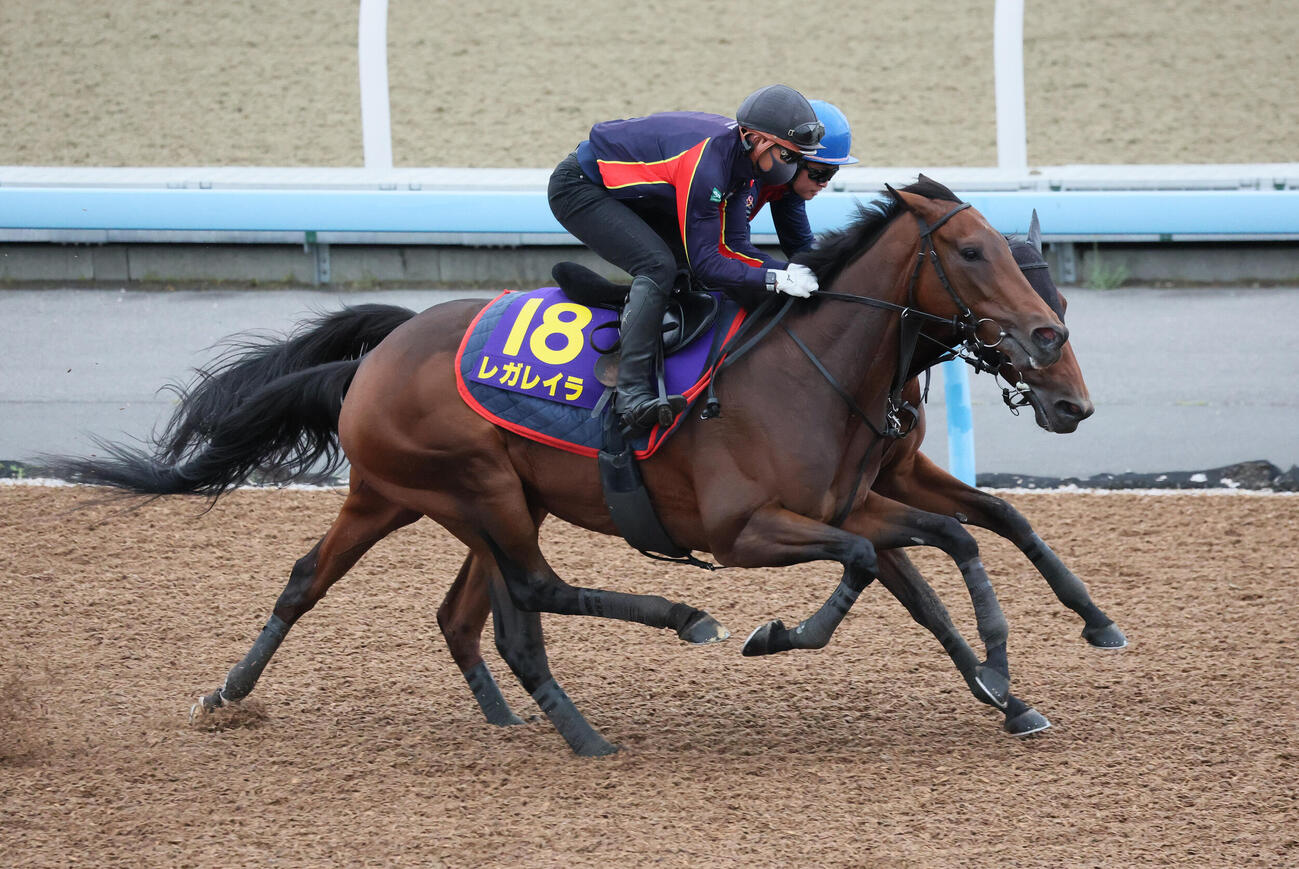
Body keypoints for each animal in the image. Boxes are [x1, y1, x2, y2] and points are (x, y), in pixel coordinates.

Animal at [45, 177, 1071, 756]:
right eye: (971, 251)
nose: (1048, 345)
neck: (806, 367)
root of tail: (380, 354)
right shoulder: (746, 531)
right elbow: (880, 565)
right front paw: (773, 632)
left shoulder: (851, 505)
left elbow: (937, 558)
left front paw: (1007, 692)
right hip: (468, 487)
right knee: (523, 593)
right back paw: (663, 641)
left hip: (441, 498)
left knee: (391, 596)